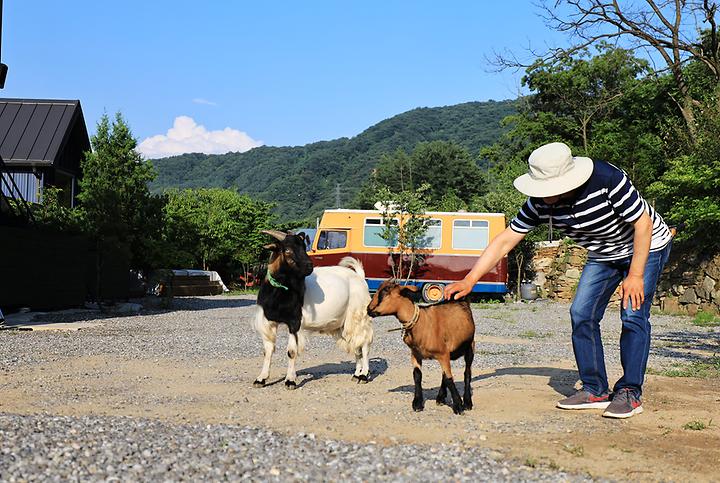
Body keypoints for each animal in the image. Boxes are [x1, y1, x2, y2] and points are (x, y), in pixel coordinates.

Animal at [253, 231, 374, 390]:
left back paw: (364, 375)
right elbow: (268, 351)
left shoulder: (294, 322)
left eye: (304, 246)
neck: (279, 292)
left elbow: (291, 352)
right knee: (356, 345)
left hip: (359, 316)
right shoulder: (268, 321)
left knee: (364, 344)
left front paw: (290, 381)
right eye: (287, 250)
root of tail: (359, 277)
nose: (309, 266)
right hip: (344, 323)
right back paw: (356, 374)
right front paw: (261, 379)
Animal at [368, 282, 476, 414]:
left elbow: (449, 378)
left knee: (467, 373)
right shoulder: (415, 354)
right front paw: (417, 403)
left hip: (470, 346)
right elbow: (417, 375)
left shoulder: (443, 354)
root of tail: (463, 300)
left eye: (385, 292)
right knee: (444, 374)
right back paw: (441, 397)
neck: (421, 323)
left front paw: (458, 406)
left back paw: (467, 402)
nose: (368, 309)